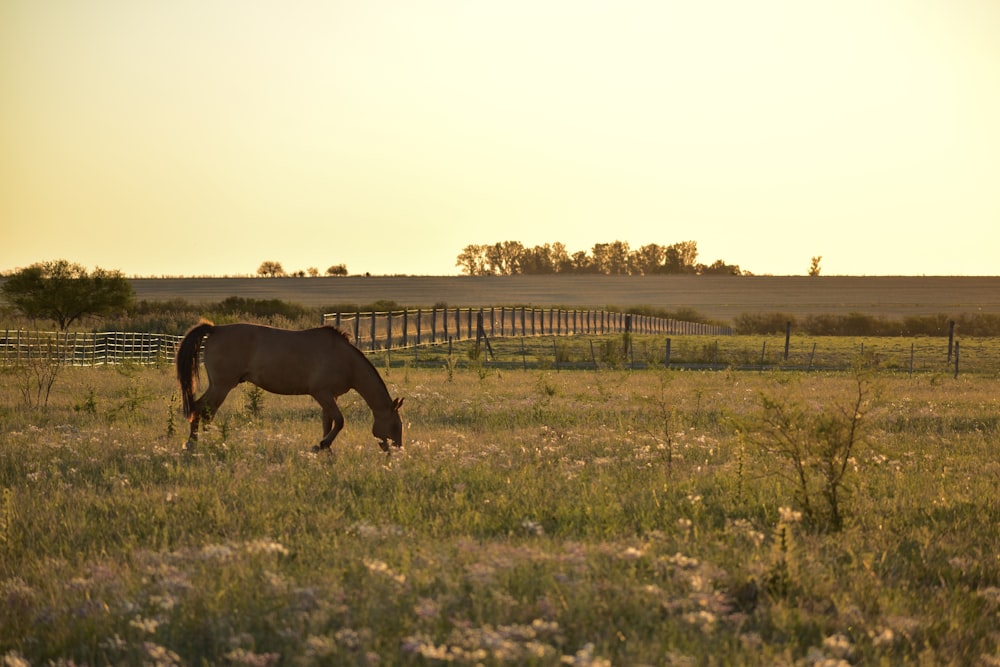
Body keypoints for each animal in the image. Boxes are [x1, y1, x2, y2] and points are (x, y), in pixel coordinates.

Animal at [175, 320, 402, 454]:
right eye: (396, 426)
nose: (397, 451)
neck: (345, 359)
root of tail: (215, 329)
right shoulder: (322, 394)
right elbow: (339, 421)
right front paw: (324, 445)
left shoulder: (330, 397)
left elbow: (328, 423)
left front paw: (324, 448)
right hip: (221, 386)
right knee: (202, 410)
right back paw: (196, 444)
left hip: (217, 386)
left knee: (203, 410)